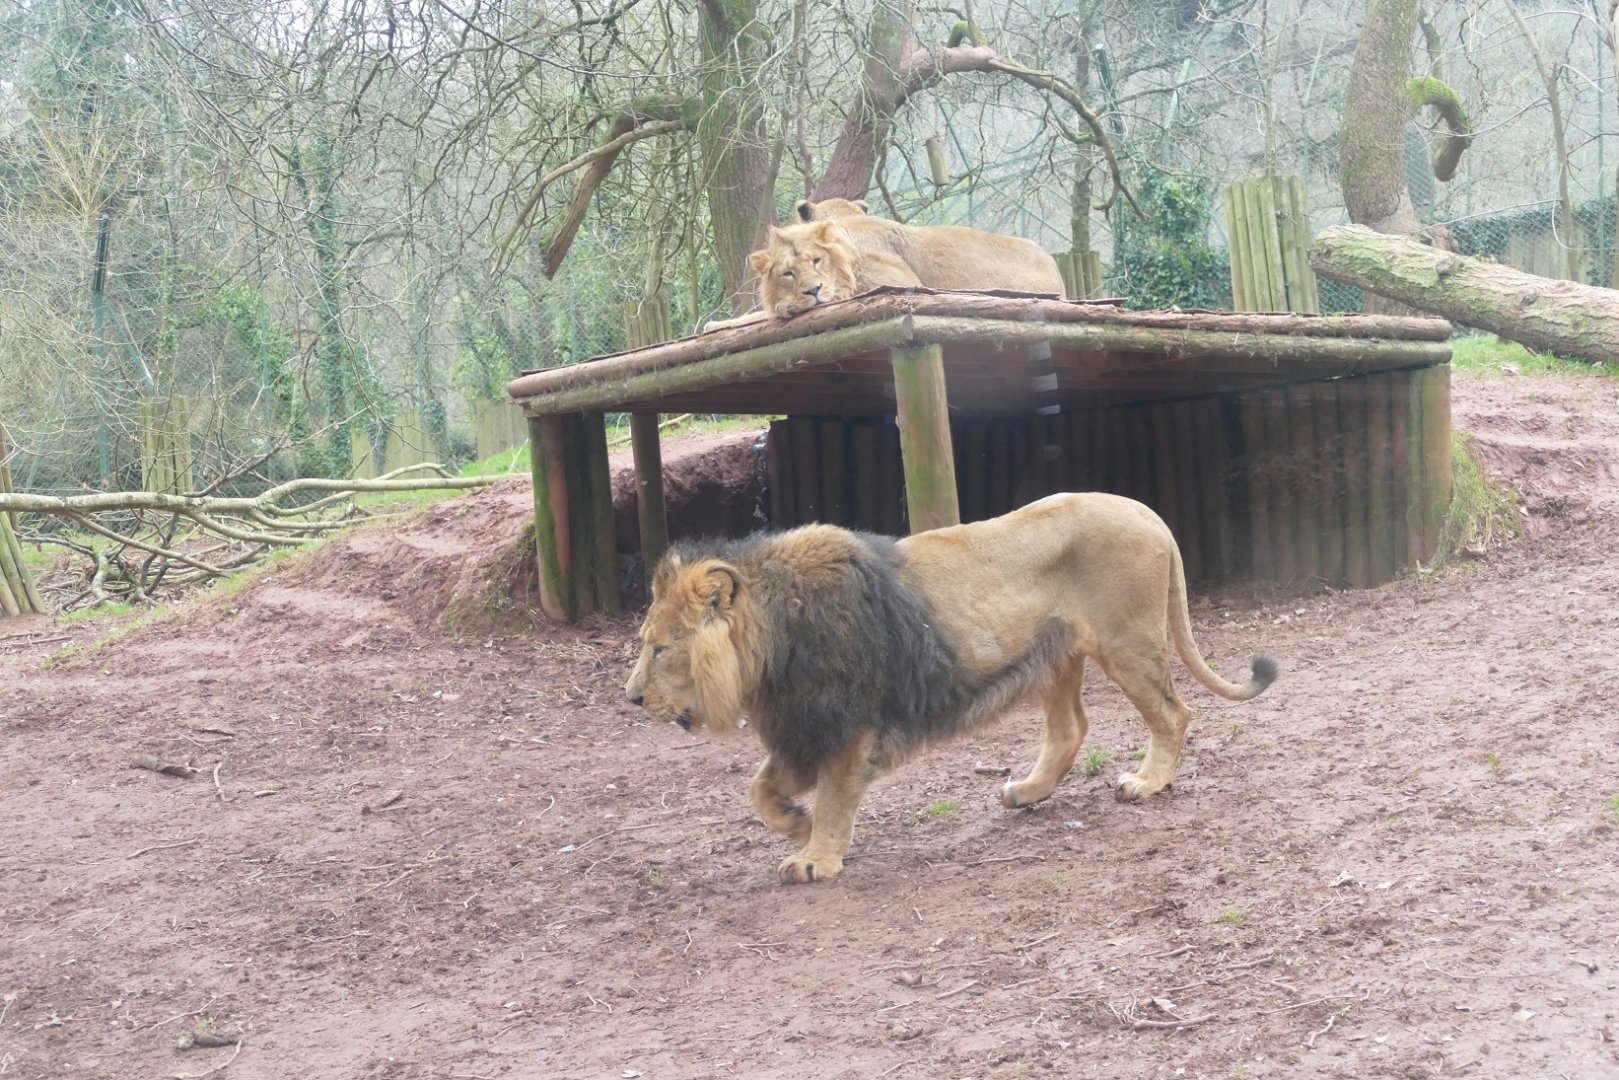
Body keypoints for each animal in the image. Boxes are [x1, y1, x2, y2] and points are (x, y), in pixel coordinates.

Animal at [624, 492, 1279, 885]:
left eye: (660, 649)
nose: (631, 698)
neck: (772, 644)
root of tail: (1147, 513)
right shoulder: (806, 725)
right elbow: (759, 789)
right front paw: (795, 823)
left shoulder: (847, 725)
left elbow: (834, 797)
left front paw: (815, 858)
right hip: (1057, 654)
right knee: (1071, 729)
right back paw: (1026, 792)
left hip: (1128, 642)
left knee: (1173, 711)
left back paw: (1147, 782)